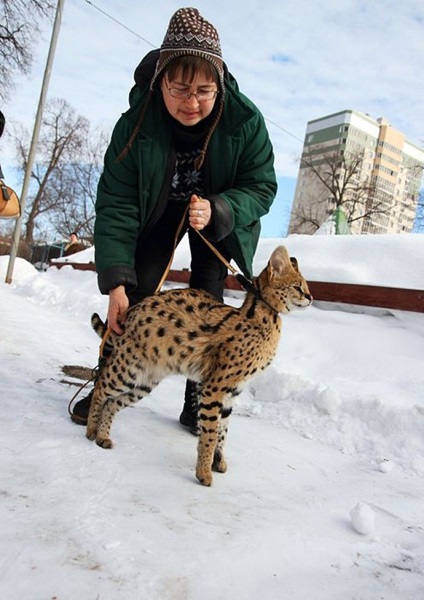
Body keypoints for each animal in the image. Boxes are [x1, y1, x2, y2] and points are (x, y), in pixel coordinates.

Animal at [86, 246, 312, 486]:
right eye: (298, 286)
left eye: (305, 286)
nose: (310, 297)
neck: (261, 318)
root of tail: (129, 314)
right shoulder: (215, 386)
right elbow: (211, 432)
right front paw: (203, 472)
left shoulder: (233, 391)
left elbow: (223, 432)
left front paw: (218, 461)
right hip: (128, 367)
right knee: (101, 386)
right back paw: (91, 429)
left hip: (146, 381)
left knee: (112, 403)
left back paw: (103, 436)